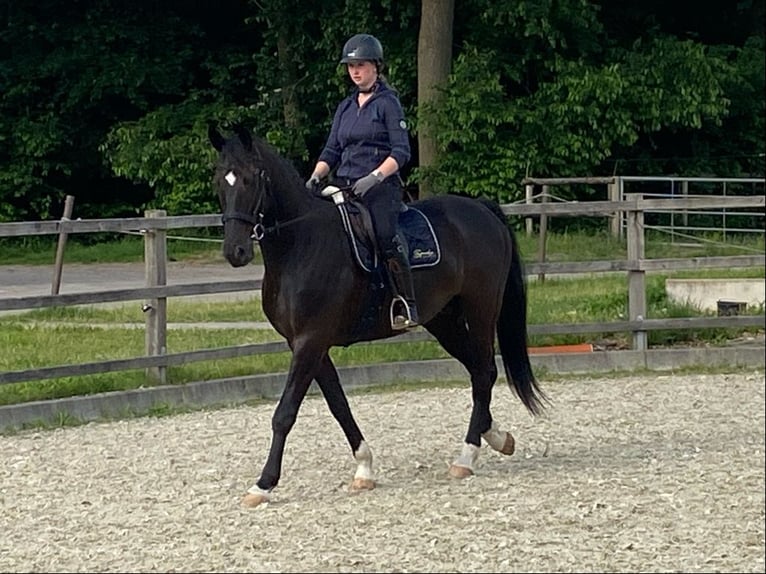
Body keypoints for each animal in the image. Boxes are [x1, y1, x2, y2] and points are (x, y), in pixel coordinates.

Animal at [207, 125, 548, 508]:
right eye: (220, 180)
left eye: (251, 178)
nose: (235, 251)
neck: (301, 245)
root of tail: (482, 209)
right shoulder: (307, 344)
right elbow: (339, 406)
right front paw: (364, 468)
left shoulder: (311, 341)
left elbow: (285, 413)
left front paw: (263, 484)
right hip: (442, 320)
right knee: (480, 371)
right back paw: (496, 437)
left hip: (481, 309)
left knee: (484, 371)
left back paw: (467, 456)